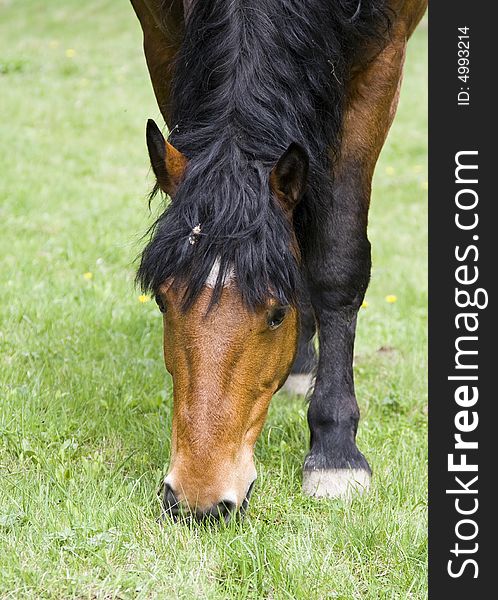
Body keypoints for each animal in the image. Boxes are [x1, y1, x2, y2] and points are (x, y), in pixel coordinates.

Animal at [131, 0, 428, 520]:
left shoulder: (383, 62)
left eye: (276, 314)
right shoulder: (162, 41)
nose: (201, 500)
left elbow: (337, 263)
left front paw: (335, 452)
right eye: (164, 302)